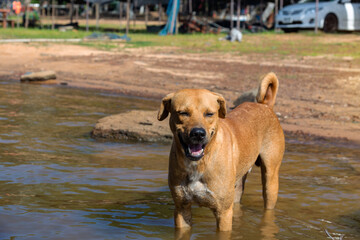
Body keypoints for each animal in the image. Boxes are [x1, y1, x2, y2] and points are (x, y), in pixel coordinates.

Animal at [158, 72, 284, 232]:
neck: (200, 163)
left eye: (209, 114)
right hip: (237, 185)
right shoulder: (181, 208)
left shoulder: (223, 212)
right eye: (183, 113)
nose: (198, 133)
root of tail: (265, 105)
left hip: (270, 179)